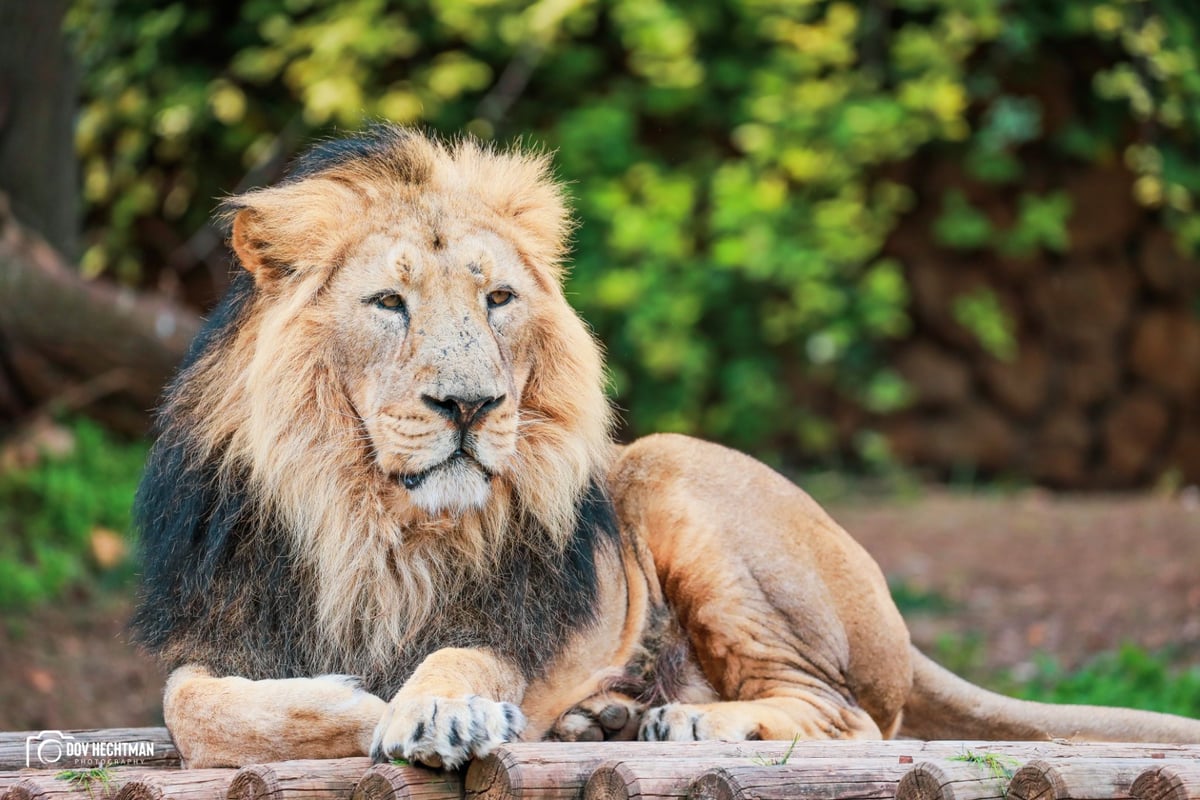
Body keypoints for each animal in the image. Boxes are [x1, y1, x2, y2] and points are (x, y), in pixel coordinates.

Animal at [131, 128, 1200, 772]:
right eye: (388, 302)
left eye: (497, 298)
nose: (471, 405)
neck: (367, 515)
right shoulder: (218, 634)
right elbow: (193, 708)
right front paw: (363, 703)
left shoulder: (516, 624)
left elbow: (462, 658)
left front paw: (434, 711)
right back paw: (602, 719)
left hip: (671, 468)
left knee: (848, 715)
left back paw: (682, 718)